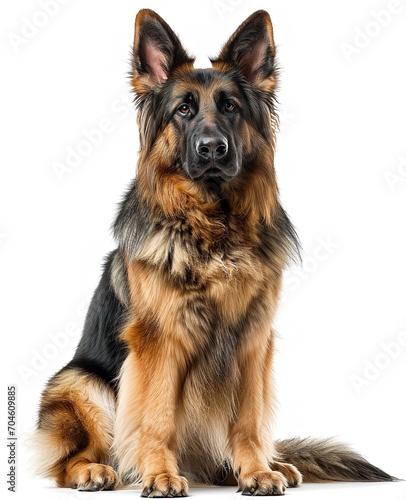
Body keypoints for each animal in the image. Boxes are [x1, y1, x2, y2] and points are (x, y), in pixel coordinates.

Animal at [33, 9, 394, 498]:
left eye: (230, 107)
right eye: (183, 109)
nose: (212, 149)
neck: (214, 229)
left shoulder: (253, 339)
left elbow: (248, 420)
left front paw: (256, 470)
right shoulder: (160, 340)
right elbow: (158, 417)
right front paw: (160, 474)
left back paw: (260, 466)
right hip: (80, 383)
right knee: (68, 458)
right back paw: (96, 471)